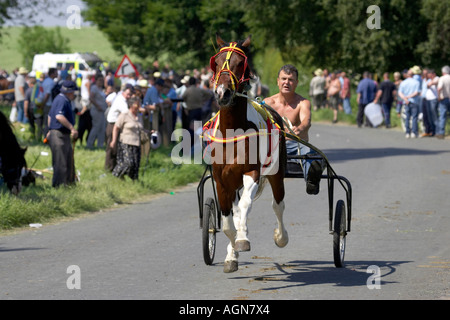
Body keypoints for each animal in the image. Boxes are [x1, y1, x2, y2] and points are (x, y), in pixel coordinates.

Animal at [208, 35, 286, 272]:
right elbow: (227, 222)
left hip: (276, 173)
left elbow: (244, 206)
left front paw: (242, 239)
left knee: (277, 205)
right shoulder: (221, 181)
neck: (232, 132)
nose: (222, 93)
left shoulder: (252, 172)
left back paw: (281, 237)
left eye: (240, 63)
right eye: (217, 62)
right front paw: (232, 253)